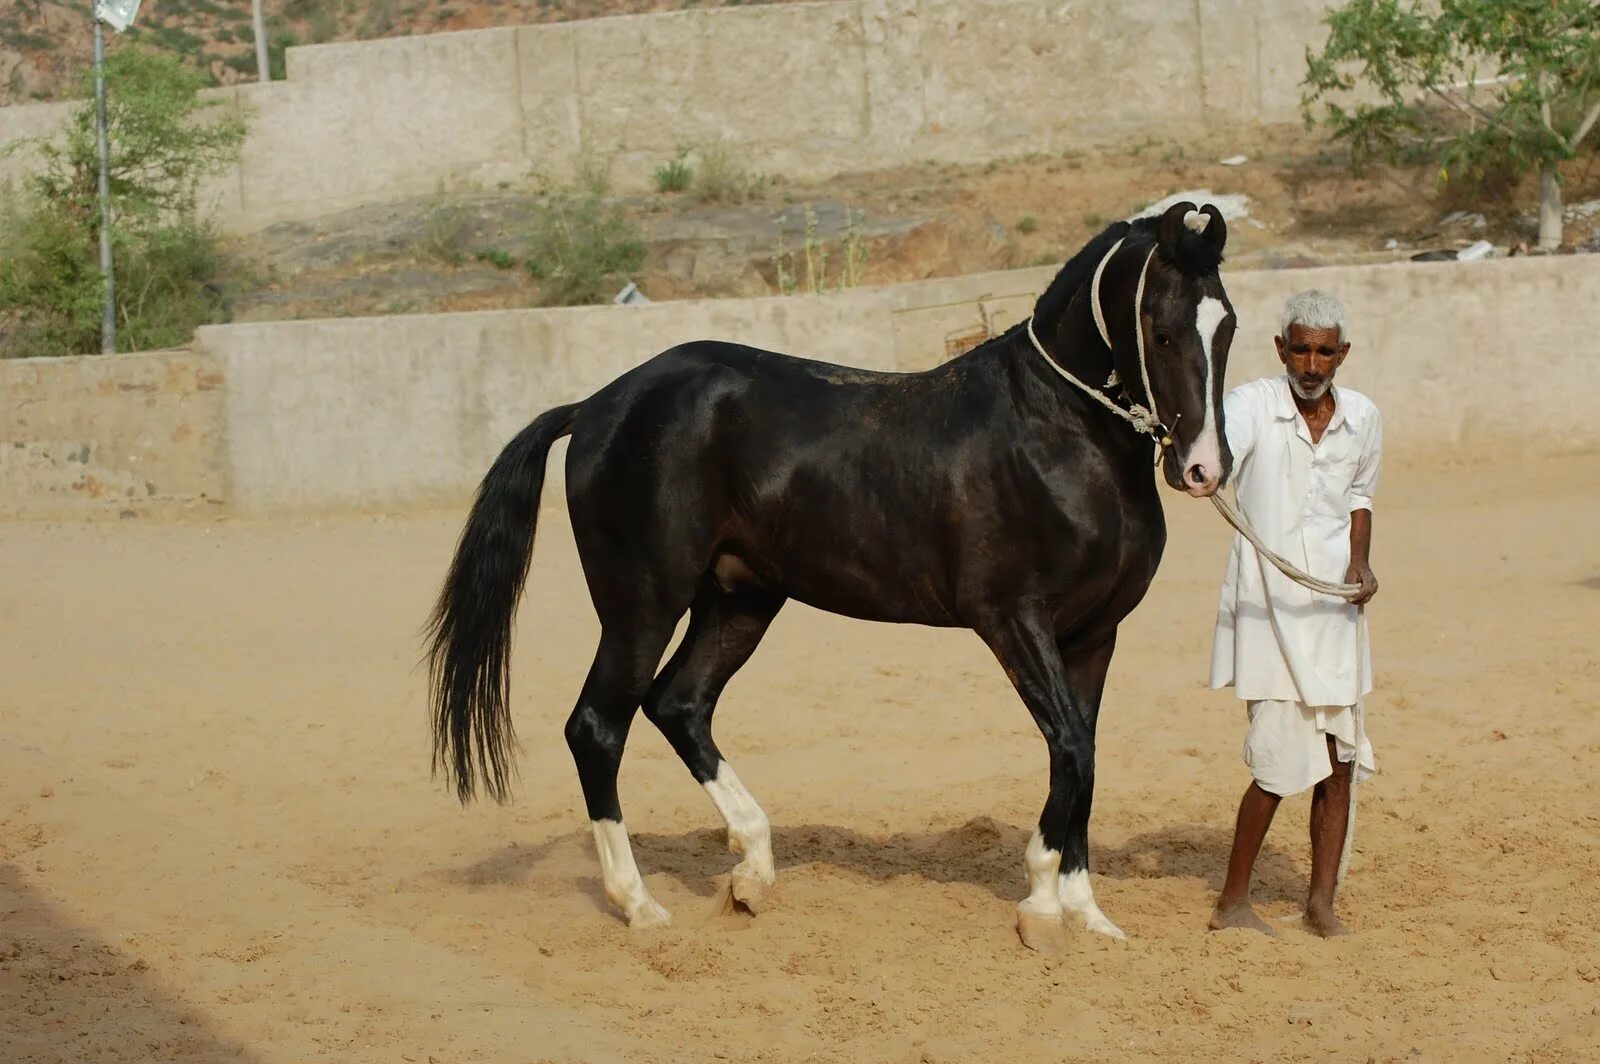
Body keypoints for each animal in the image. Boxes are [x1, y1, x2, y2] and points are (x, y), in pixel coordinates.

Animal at [428, 201, 1235, 953]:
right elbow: (1069, 746)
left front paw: (1087, 915)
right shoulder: (1013, 620)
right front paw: (1039, 907)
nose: (1202, 468)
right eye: (1162, 329)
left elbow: (1086, 753)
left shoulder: (1095, 633)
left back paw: (751, 871)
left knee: (678, 705)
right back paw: (641, 906)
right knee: (598, 726)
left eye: (1224, 327)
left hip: (741, 600)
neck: (1056, 433)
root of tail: (597, 407)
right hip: (642, 605)